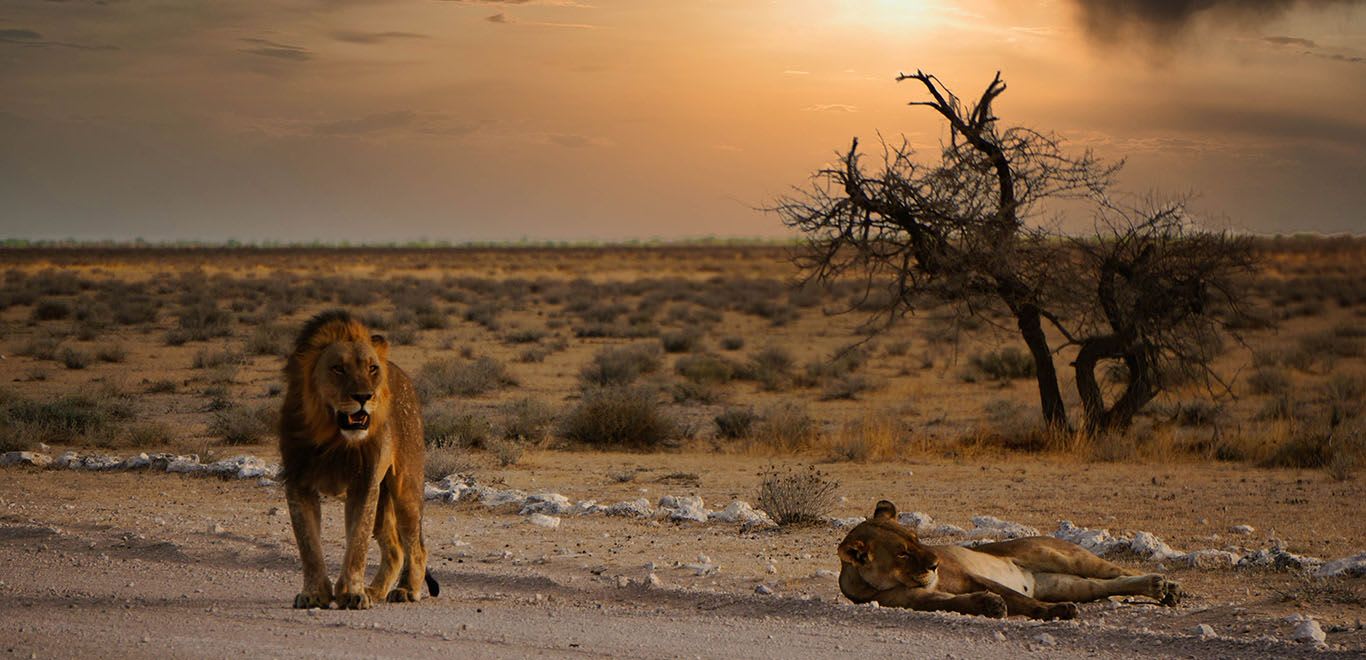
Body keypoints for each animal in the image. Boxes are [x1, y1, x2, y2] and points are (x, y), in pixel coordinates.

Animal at [280, 310, 439, 609]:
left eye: (371, 368)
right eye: (338, 368)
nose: (364, 396)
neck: (332, 437)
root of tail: (401, 373)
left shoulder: (364, 483)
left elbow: (357, 542)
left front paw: (351, 594)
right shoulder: (298, 482)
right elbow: (308, 544)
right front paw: (314, 594)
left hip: (405, 488)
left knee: (416, 545)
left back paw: (406, 590)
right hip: (383, 498)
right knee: (395, 549)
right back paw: (375, 590)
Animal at [835, 500, 1180, 620]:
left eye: (917, 539)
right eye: (902, 553)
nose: (935, 564)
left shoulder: (971, 575)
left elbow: (1017, 598)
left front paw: (1053, 612)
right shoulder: (914, 600)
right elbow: (954, 602)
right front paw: (989, 604)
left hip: (1063, 557)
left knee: (1117, 571)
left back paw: (1166, 586)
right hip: (1067, 584)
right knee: (1104, 585)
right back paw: (1160, 589)